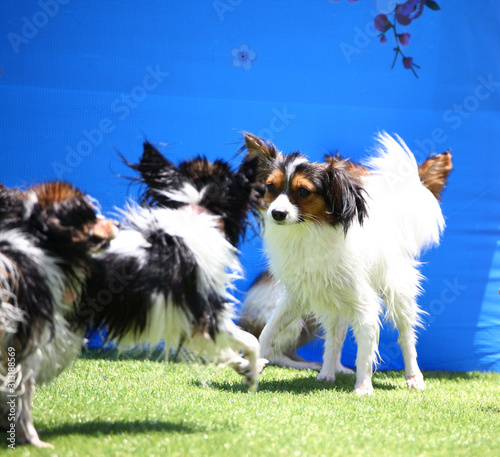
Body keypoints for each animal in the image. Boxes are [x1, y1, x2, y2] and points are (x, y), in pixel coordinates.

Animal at [75, 143, 266, 392]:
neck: (195, 211)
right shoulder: (206, 310)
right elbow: (251, 341)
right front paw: (251, 375)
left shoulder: (190, 321)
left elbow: (223, 350)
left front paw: (244, 367)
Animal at [240, 131, 448, 392]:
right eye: (270, 187)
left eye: (303, 192)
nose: (277, 213)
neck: (308, 232)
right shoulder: (294, 297)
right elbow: (267, 332)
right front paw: (256, 363)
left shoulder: (365, 303)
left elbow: (365, 352)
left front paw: (363, 388)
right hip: (332, 303)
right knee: (334, 339)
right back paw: (326, 373)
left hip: (396, 293)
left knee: (406, 336)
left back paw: (413, 377)